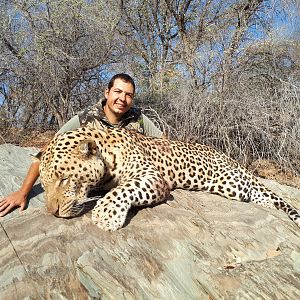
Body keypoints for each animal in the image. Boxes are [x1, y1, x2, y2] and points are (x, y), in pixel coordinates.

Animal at [38, 125, 300, 231]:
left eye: (63, 179)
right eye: (44, 186)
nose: (52, 212)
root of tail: (234, 160)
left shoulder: (151, 175)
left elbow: (123, 189)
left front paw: (106, 215)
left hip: (230, 182)